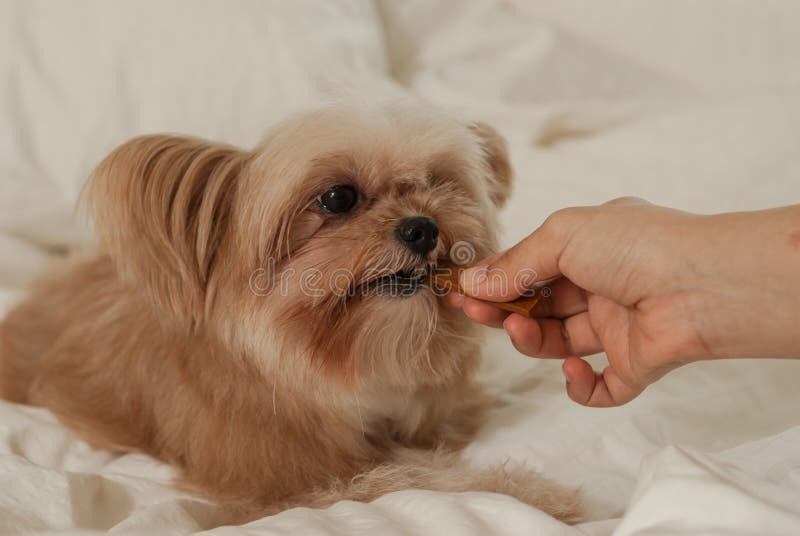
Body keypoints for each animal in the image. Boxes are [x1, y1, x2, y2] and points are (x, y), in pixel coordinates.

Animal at [0, 100, 580, 524]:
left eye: (437, 183)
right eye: (338, 197)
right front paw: (531, 493)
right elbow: (412, 478)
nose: (424, 227)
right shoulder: (283, 488)